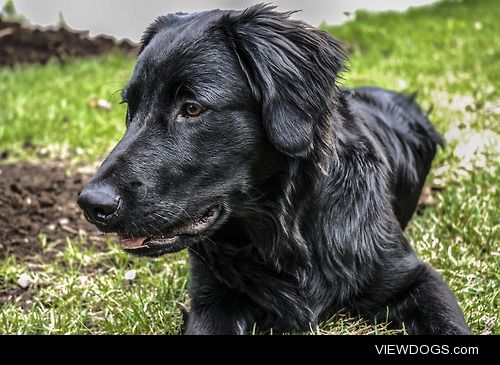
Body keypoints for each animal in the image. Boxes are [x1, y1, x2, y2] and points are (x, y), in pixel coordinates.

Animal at [79, 4, 472, 336]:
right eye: (130, 108)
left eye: (192, 108)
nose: (91, 204)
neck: (285, 230)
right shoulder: (211, 299)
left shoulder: (413, 276)